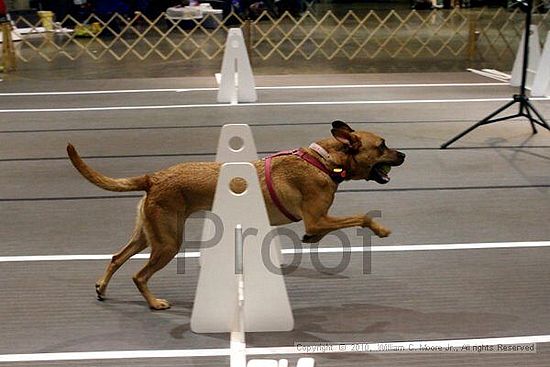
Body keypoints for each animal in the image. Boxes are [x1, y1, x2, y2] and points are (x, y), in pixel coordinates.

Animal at [68, 121, 406, 310]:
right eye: (382, 145)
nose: (404, 154)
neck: (325, 160)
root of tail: (154, 177)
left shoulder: (319, 219)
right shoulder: (317, 218)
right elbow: (361, 216)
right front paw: (380, 230)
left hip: (147, 235)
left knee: (116, 258)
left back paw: (102, 289)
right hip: (167, 242)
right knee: (139, 275)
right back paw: (154, 303)